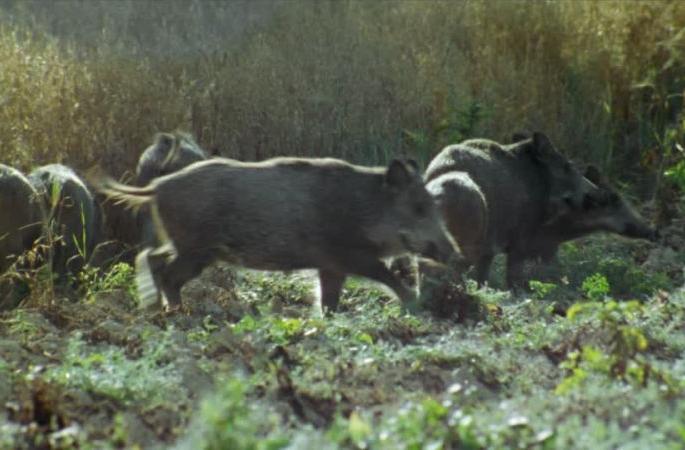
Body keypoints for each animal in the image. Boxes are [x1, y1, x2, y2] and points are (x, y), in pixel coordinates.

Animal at [97, 157, 459, 313]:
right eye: (418, 208)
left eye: (432, 205)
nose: (453, 253)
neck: (365, 209)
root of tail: (157, 187)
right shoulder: (347, 254)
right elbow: (386, 276)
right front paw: (416, 305)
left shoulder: (330, 266)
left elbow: (329, 298)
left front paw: (329, 320)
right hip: (196, 248)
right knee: (167, 272)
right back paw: (177, 312)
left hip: (183, 244)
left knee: (151, 257)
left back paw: (154, 306)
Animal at [424, 132, 599, 287]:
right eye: (567, 166)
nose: (595, 193)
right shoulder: (520, 238)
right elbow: (512, 274)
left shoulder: (490, 248)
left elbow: (483, 276)